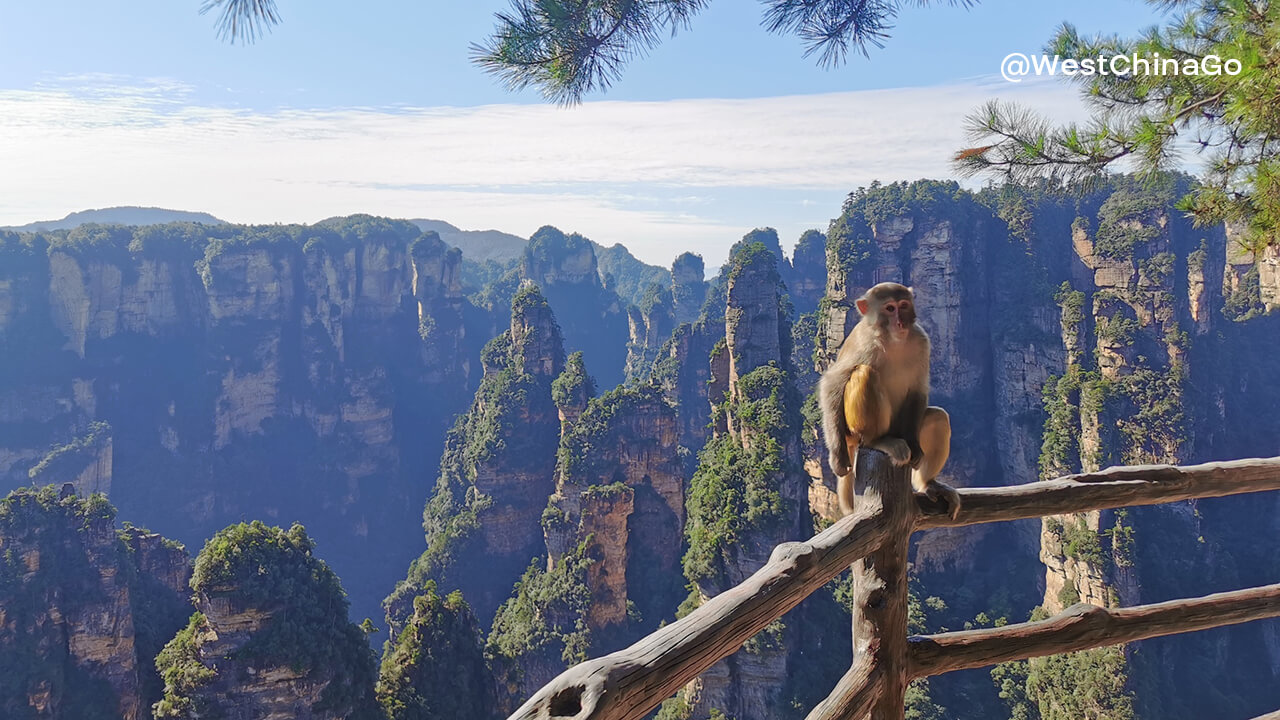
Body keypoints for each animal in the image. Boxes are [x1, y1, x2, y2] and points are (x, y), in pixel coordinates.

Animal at [819, 280, 962, 515]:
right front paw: (838, 456)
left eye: (903, 305)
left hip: (900, 427)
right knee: (865, 374)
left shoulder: (922, 341)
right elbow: (832, 384)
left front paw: (915, 445)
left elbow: (918, 389)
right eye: (889, 308)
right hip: (852, 430)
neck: (892, 339)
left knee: (938, 419)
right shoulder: (864, 343)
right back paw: (877, 441)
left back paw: (928, 484)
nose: (900, 322)